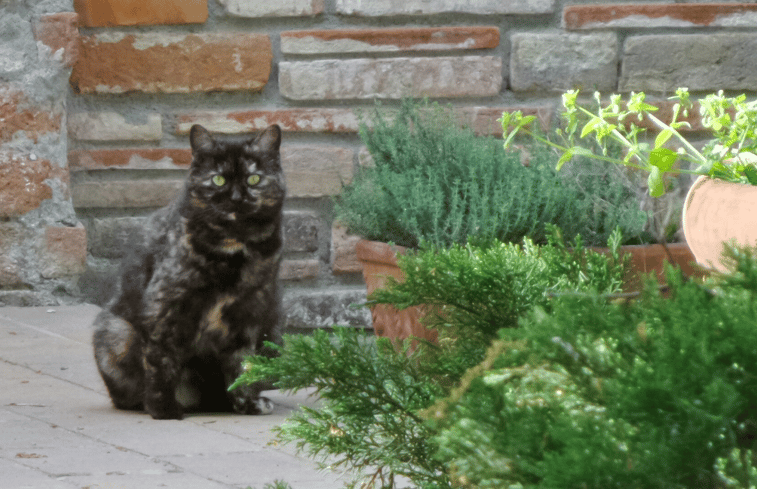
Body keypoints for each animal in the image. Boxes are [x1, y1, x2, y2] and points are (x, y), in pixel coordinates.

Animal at [92, 124, 286, 418]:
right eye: (218, 180)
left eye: (254, 179)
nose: (236, 198)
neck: (234, 243)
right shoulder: (166, 303)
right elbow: (161, 357)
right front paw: (163, 408)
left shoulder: (250, 309)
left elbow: (243, 364)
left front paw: (247, 402)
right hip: (115, 330)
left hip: (274, 329)